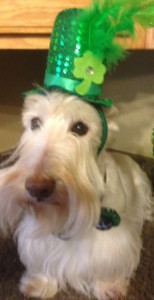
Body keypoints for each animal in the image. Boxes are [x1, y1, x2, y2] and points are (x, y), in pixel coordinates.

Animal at [0, 91, 152, 300]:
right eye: (34, 123)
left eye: (80, 127)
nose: (37, 188)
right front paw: (39, 283)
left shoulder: (113, 240)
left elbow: (108, 263)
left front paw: (109, 286)